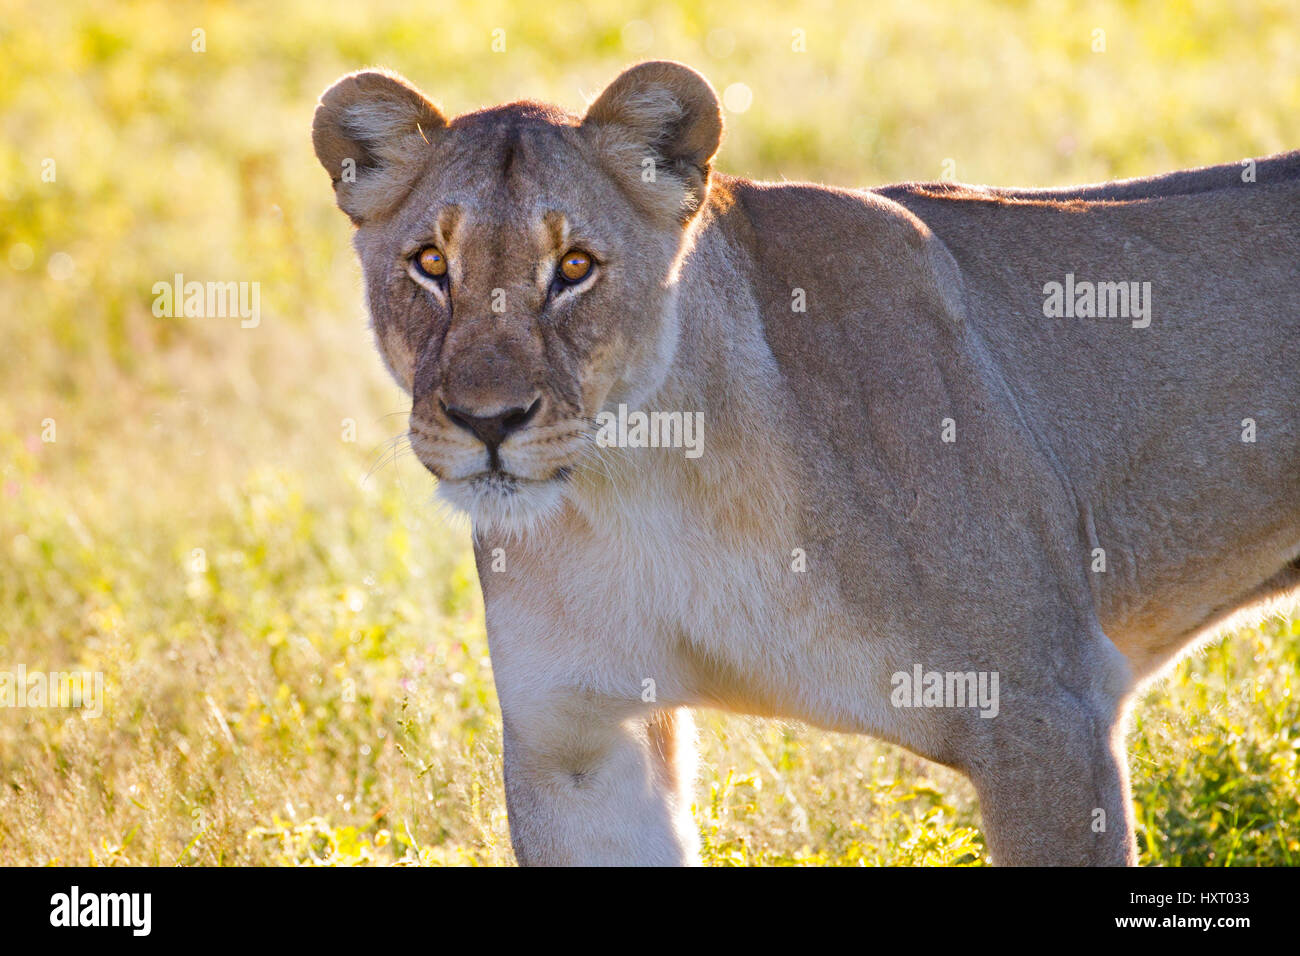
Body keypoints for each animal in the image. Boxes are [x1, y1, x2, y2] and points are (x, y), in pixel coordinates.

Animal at [313, 60, 1300, 865]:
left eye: (577, 267)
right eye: (431, 264)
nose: (488, 422)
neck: (645, 480)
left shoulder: (1045, 715)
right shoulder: (576, 746)